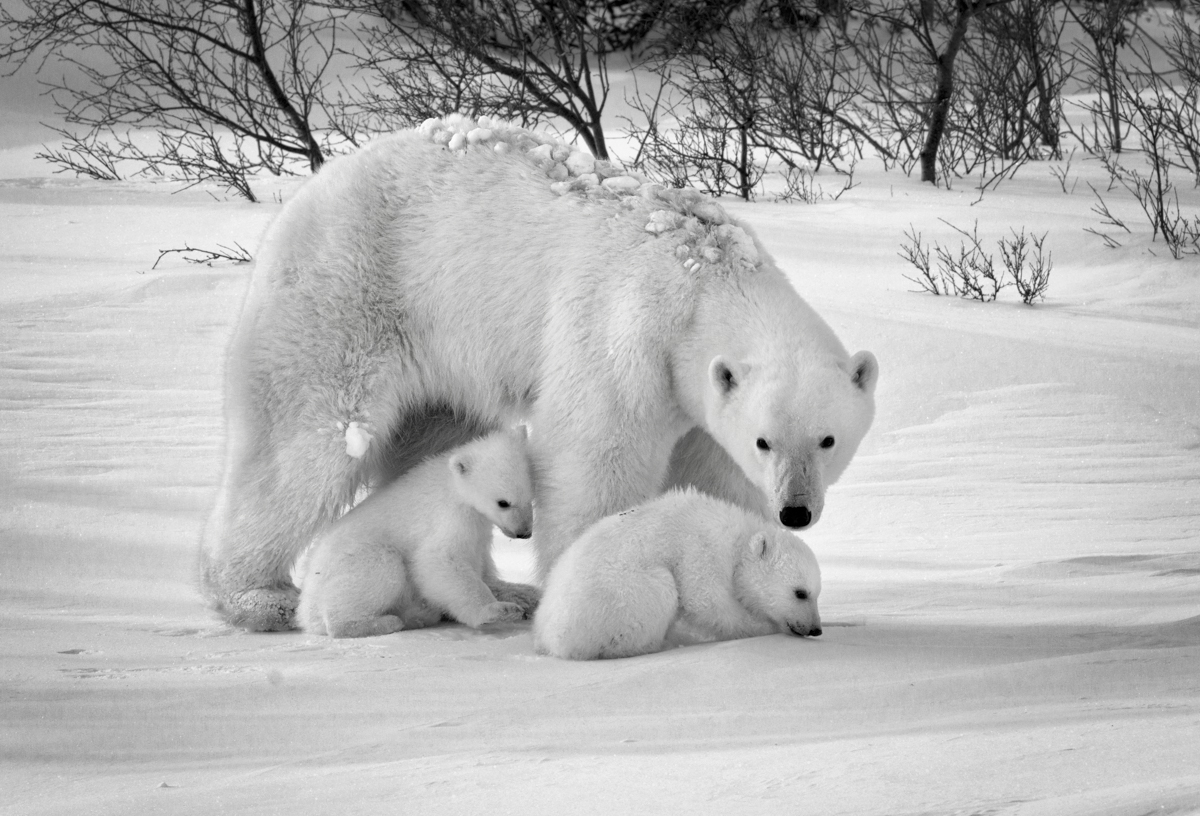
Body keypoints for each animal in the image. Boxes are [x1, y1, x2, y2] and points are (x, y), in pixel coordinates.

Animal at [296, 427, 540, 638]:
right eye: (503, 502)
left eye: (530, 497)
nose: (524, 532)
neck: (453, 483)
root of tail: (305, 608)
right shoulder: (449, 517)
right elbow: (439, 560)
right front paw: (499, 610)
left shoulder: (479, 528)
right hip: (344, 565)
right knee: (380, 564)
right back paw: (385, 622)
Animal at [533, 489, 822, 660]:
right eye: (800, 593)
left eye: (817, 593)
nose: (815, 629)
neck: (738, 542)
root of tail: (551, 637)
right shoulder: (701, 549)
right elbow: (707, 600)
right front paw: (763, 626)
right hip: (620, 598)